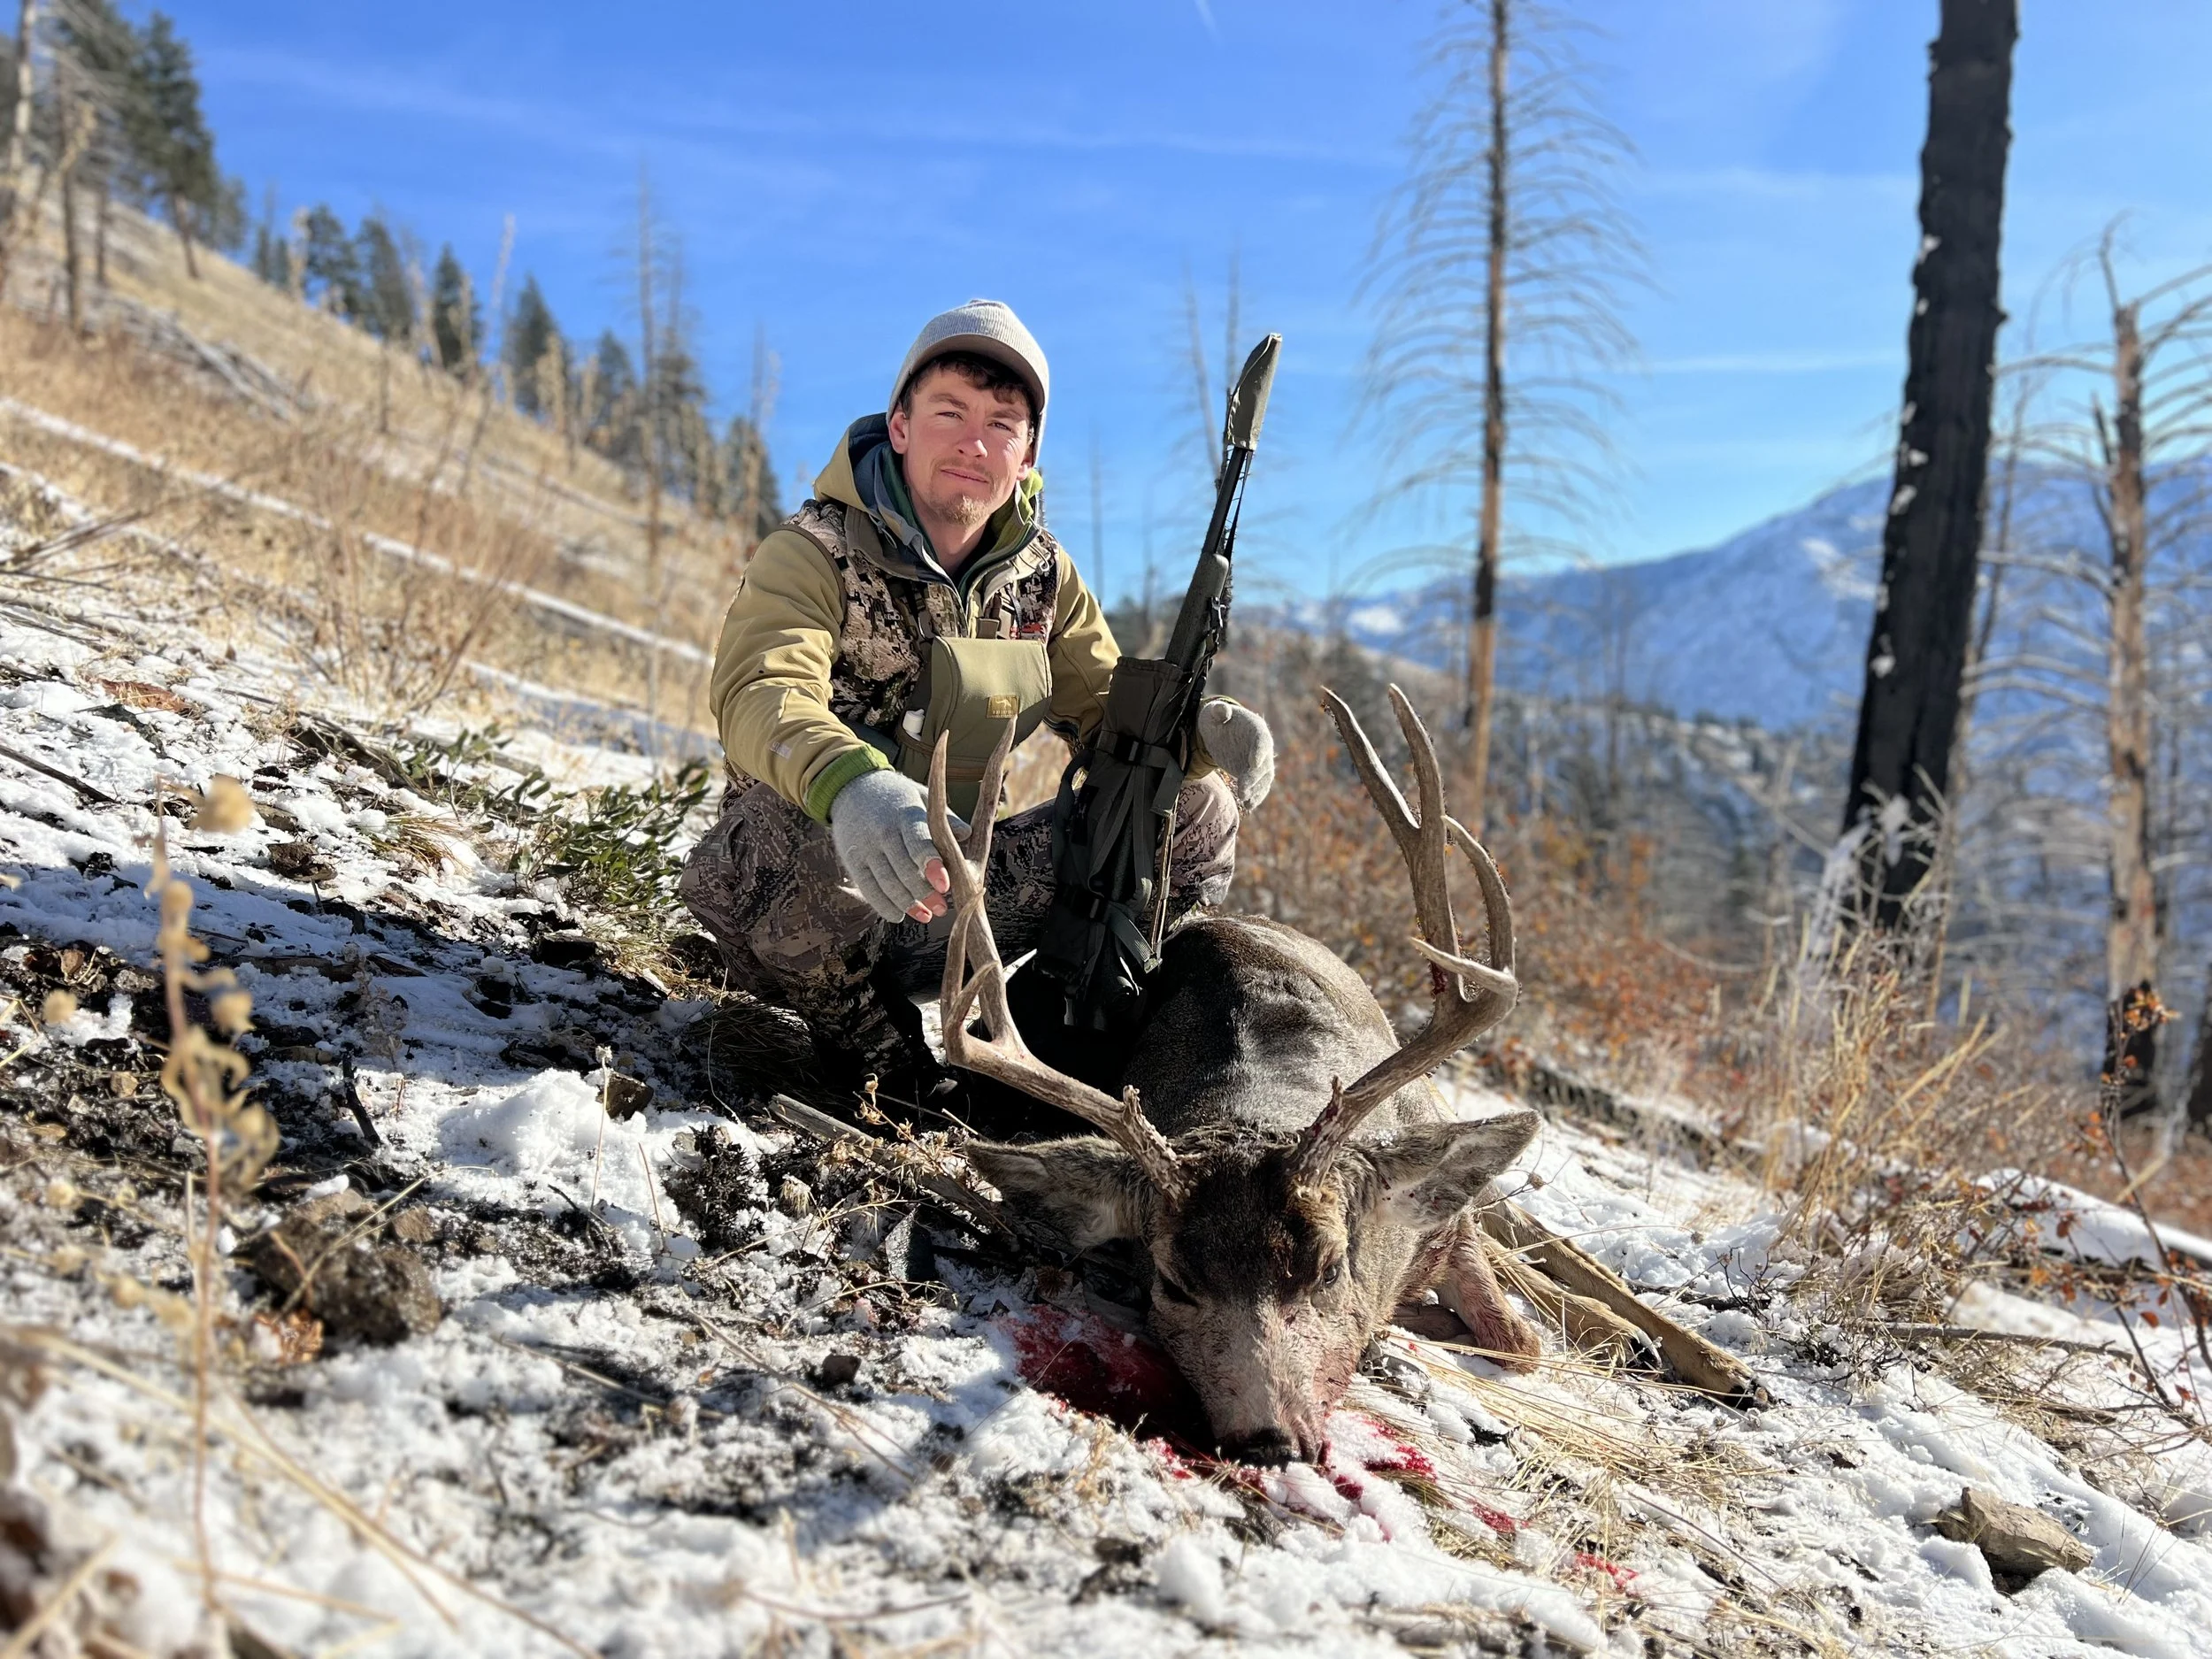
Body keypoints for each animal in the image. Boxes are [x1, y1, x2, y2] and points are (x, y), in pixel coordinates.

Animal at [925, 685, 1543, 1467]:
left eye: (1331, 1267)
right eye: (1172, 1282)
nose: (1270, 1438)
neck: (1259, 1097)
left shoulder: (1445, 1212)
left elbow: (1519, 1338)